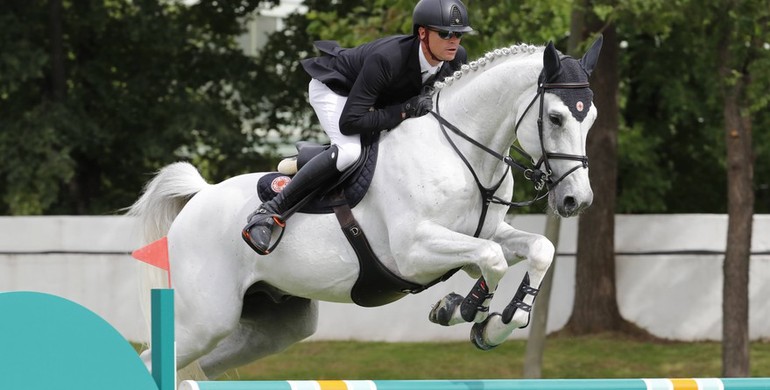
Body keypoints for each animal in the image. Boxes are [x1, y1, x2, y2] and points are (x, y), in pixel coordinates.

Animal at [130, 36, 600, 378]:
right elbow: (493, 260)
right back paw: (262, 224)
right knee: (156, 359)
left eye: (590, 117)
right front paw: (461, 309)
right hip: (204, 319)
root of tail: (199, 197)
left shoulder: (485, 233)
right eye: (556, 118)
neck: (460, 150)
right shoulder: (413, 252)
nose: (576, 200)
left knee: (203, 366)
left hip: (271, 324)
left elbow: (537, 249)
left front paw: (496, 324)